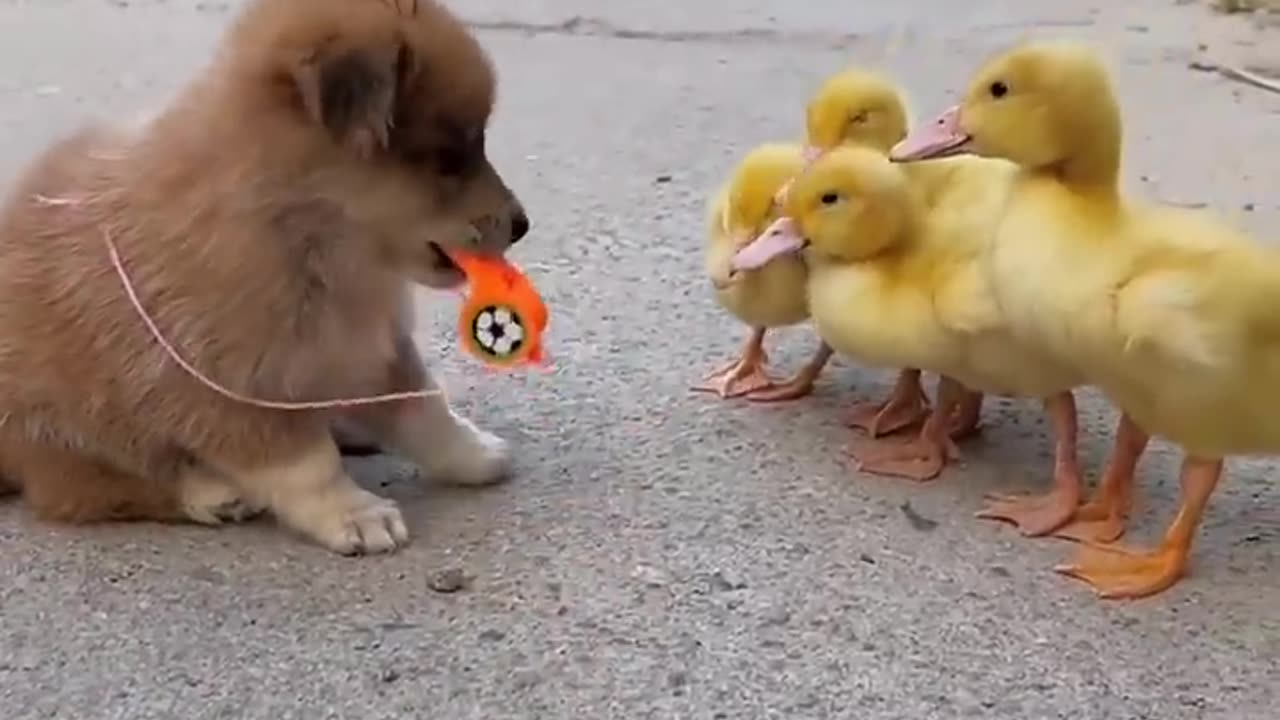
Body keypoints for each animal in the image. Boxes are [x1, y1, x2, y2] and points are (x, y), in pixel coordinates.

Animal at [0, 0, 529, 550]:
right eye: (447, 159)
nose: (522, 225)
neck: (312, 237)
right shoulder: (228, 384)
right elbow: (307, 463)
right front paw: (352, 511)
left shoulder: (374, 345)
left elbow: (423, 408)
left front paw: (470, 452)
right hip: (68, 429)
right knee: (82, 485)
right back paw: (211, 492)